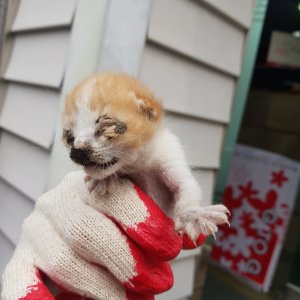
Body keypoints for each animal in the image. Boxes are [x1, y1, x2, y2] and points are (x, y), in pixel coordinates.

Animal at [62, 72, 229, 239]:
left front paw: (194, 216)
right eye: (69, 138)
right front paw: (105, 180)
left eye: (104, 128)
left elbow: (186, 187)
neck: (140, 165)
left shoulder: (169, 157)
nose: (77, 152)